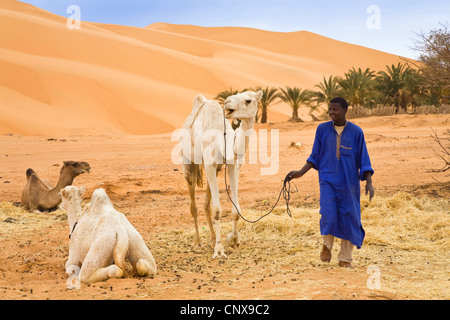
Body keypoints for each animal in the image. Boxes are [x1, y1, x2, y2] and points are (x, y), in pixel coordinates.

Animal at [180, 89, 262, 258]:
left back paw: (211, 239)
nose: (227, 102)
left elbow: (236, 209)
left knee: (206, 206)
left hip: (215, 169)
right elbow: (218, 211)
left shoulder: (232, 164)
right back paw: (198, 242)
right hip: (188, 163)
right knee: (194, 206)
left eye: (248, 100)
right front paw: (219, 250)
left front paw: (234, 239)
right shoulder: (210, 164)